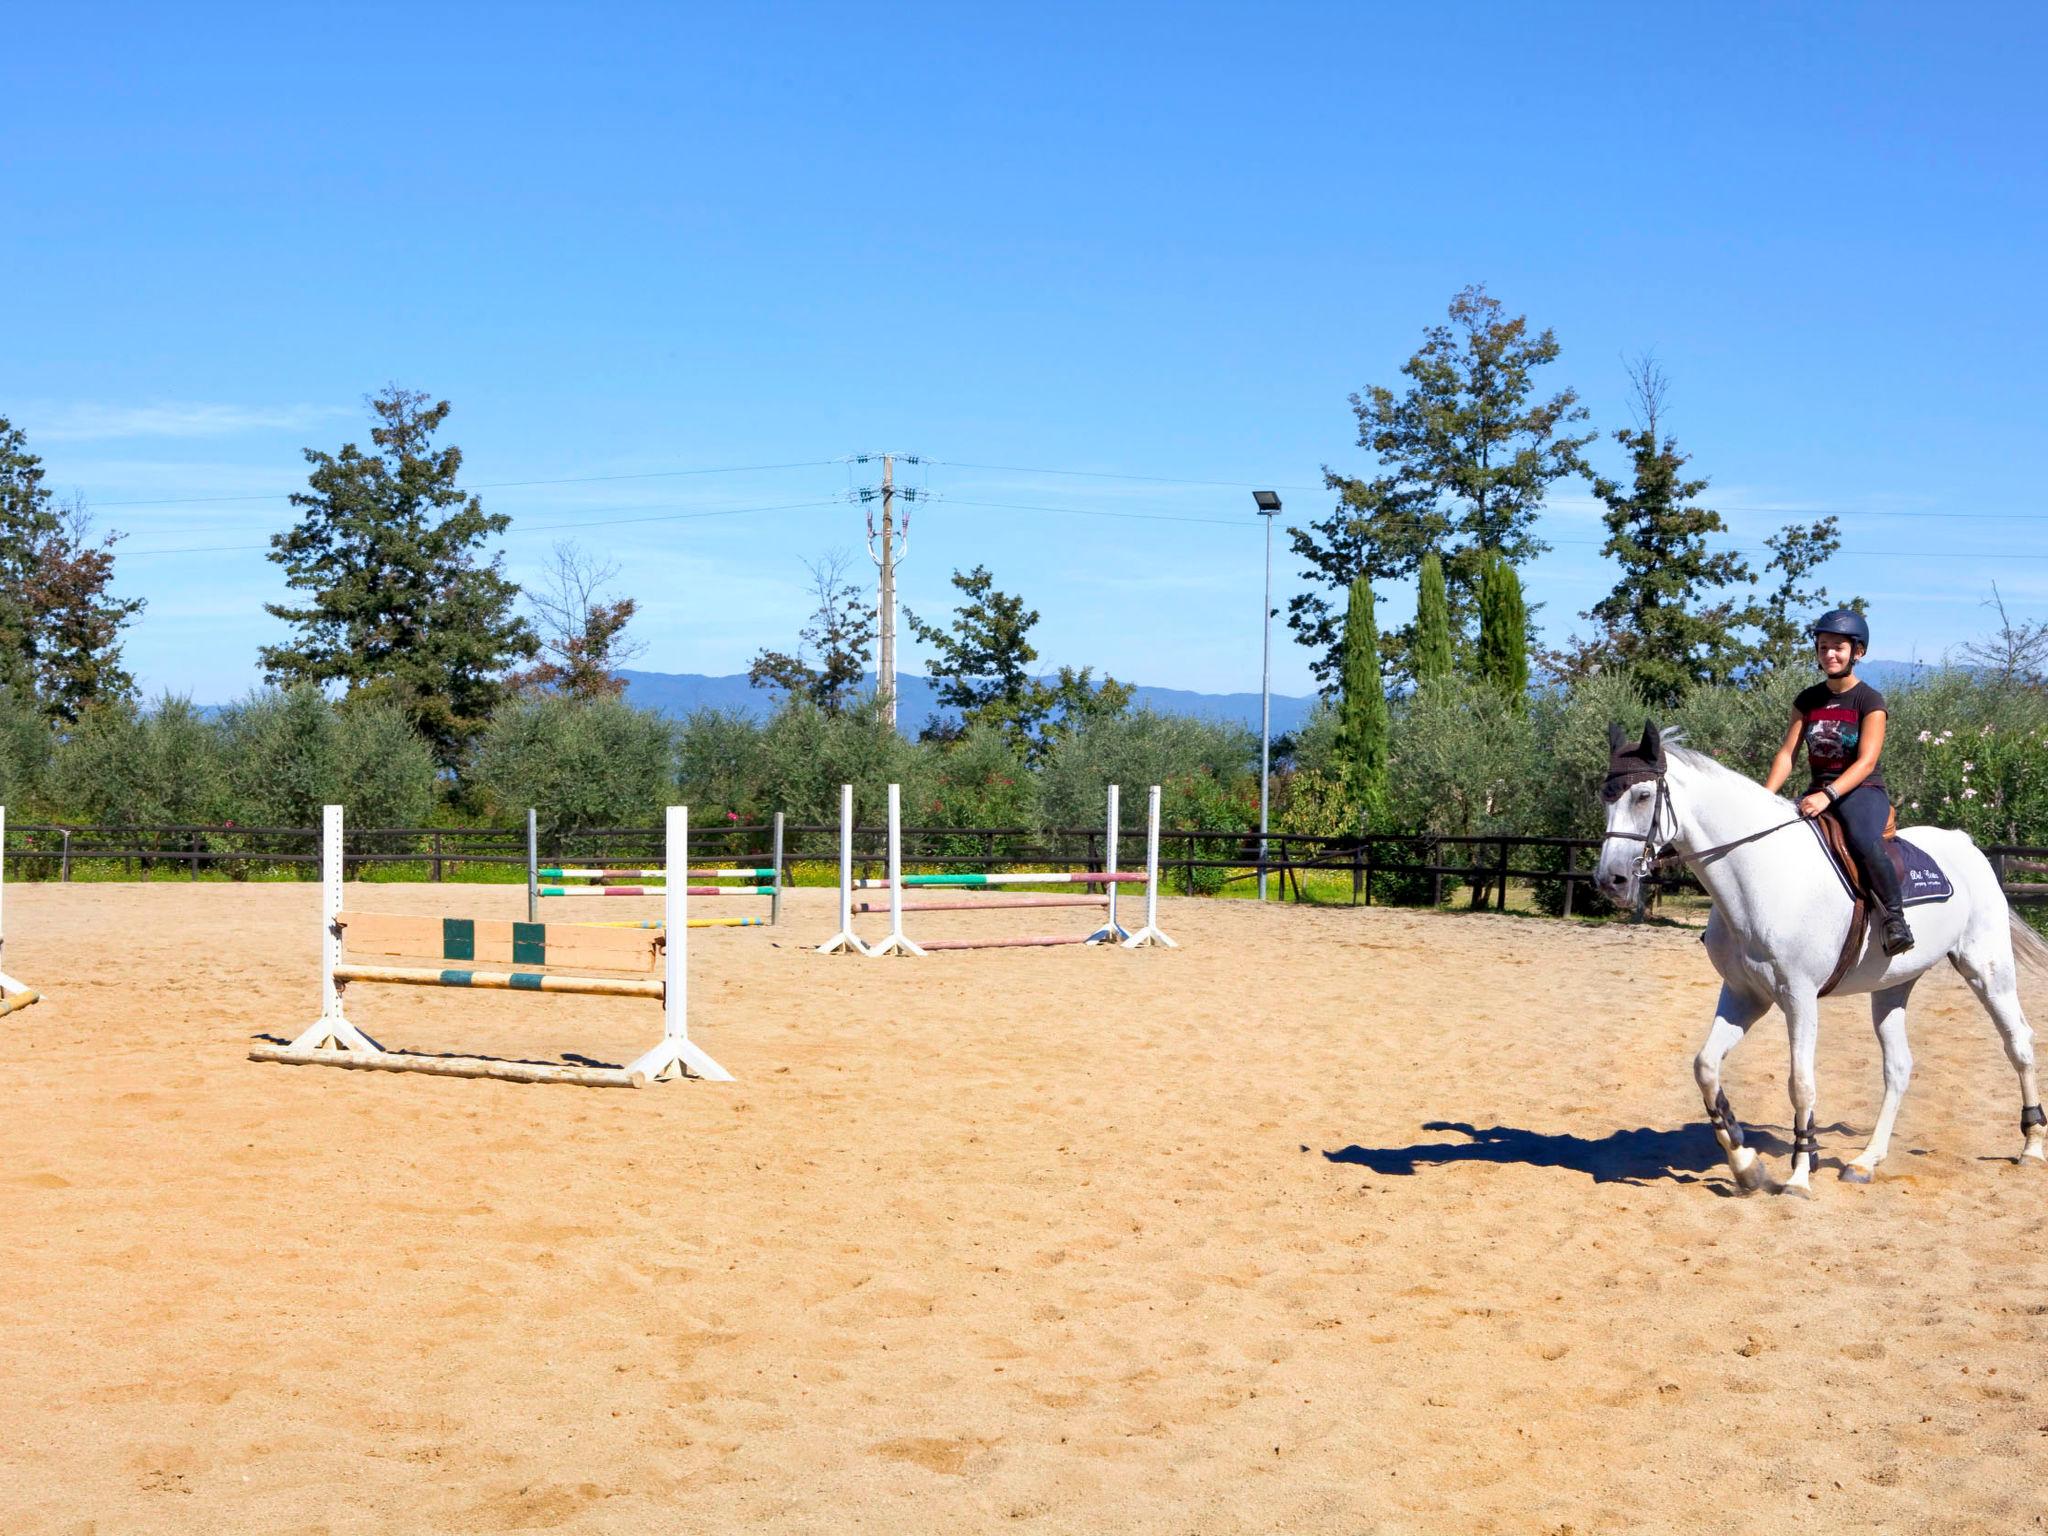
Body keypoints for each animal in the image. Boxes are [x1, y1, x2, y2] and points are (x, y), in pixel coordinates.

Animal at [1597, 716, 2048, 1196]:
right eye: (1605, 798)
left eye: (1643, 796)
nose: (1611, 880)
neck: (1760, 872)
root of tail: (1965, 844)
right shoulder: (1744, 994)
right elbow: (1706, 1067)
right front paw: (1745, 1163)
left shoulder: (1798, 996)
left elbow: (1800, 1083)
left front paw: (1798, 1175)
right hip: (1892, 987)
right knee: (1898, 1068)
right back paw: (1865, 1161)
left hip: (1986, 969)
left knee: (2018, 1041)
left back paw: (2031, 1146)